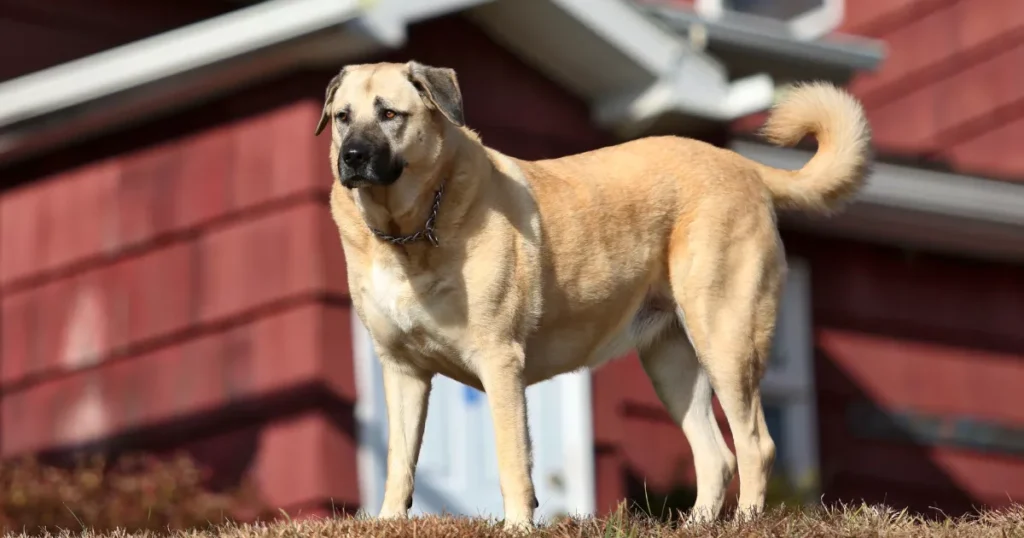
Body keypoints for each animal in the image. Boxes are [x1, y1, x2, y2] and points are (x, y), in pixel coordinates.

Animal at [313, 59, 872, 528]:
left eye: (389, 114)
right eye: (342, 117)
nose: (352, 158)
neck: (408, 235)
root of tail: (744, 167)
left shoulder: (499, 360)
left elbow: (512, 458)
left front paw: (518, 527)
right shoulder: (402, 369)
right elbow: (399, 458)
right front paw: (388, 521)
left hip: (726, 339)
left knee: (756, 443)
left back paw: (746, 523)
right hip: (672, 362)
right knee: (717, 455)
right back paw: (696, 525)